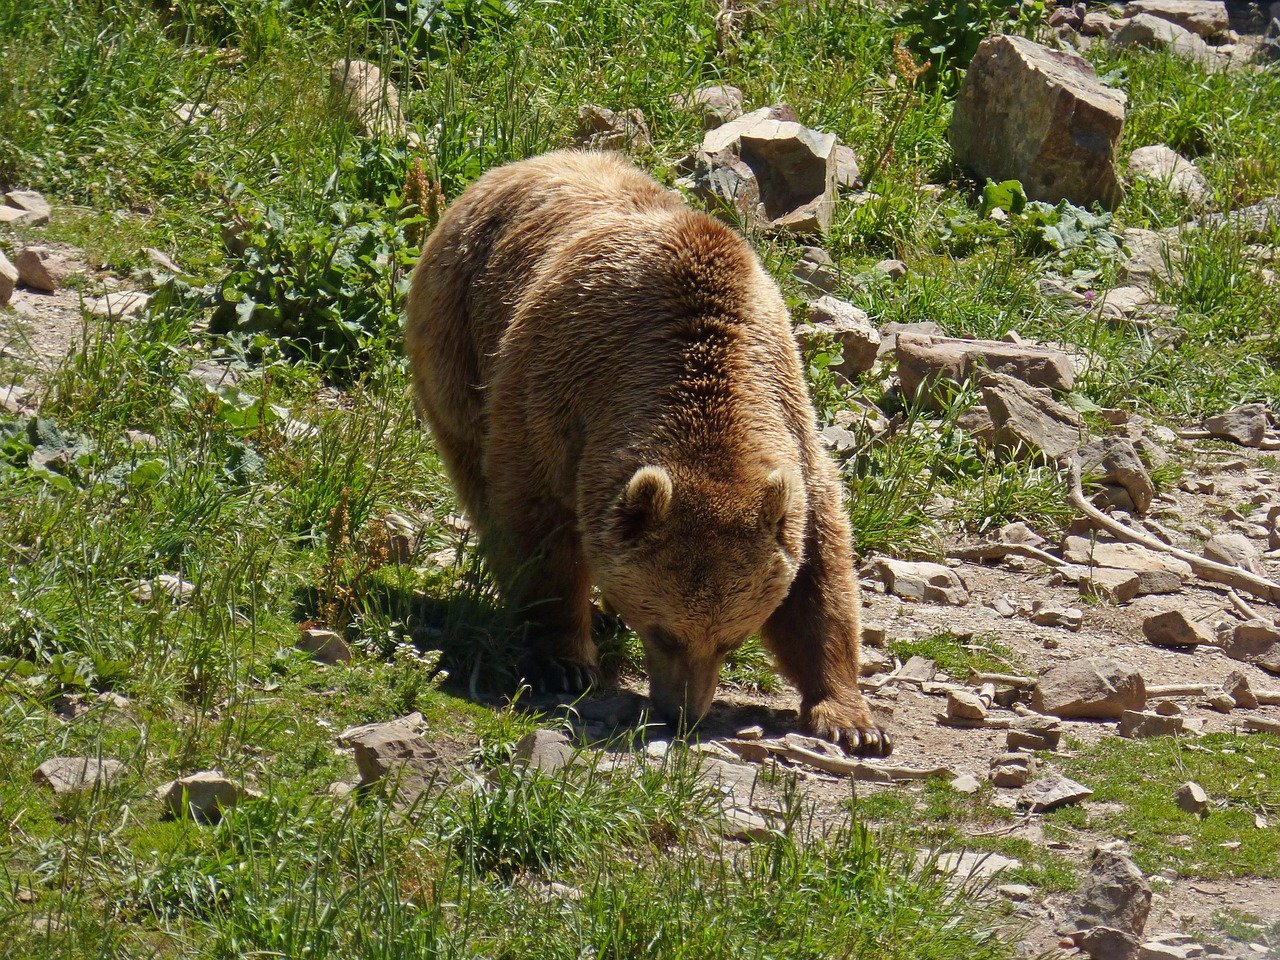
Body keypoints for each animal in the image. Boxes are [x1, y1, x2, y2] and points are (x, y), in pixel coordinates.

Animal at [409, 150, 890, 757]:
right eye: (663, 631)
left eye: (731, 640)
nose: (683, 714)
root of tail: (520, 165)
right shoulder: (552, 403)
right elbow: (536, 524)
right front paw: (562, 659)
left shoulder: (794, 432)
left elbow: (820, 570)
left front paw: (851, 719)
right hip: (459, 332)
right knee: (476, 473)